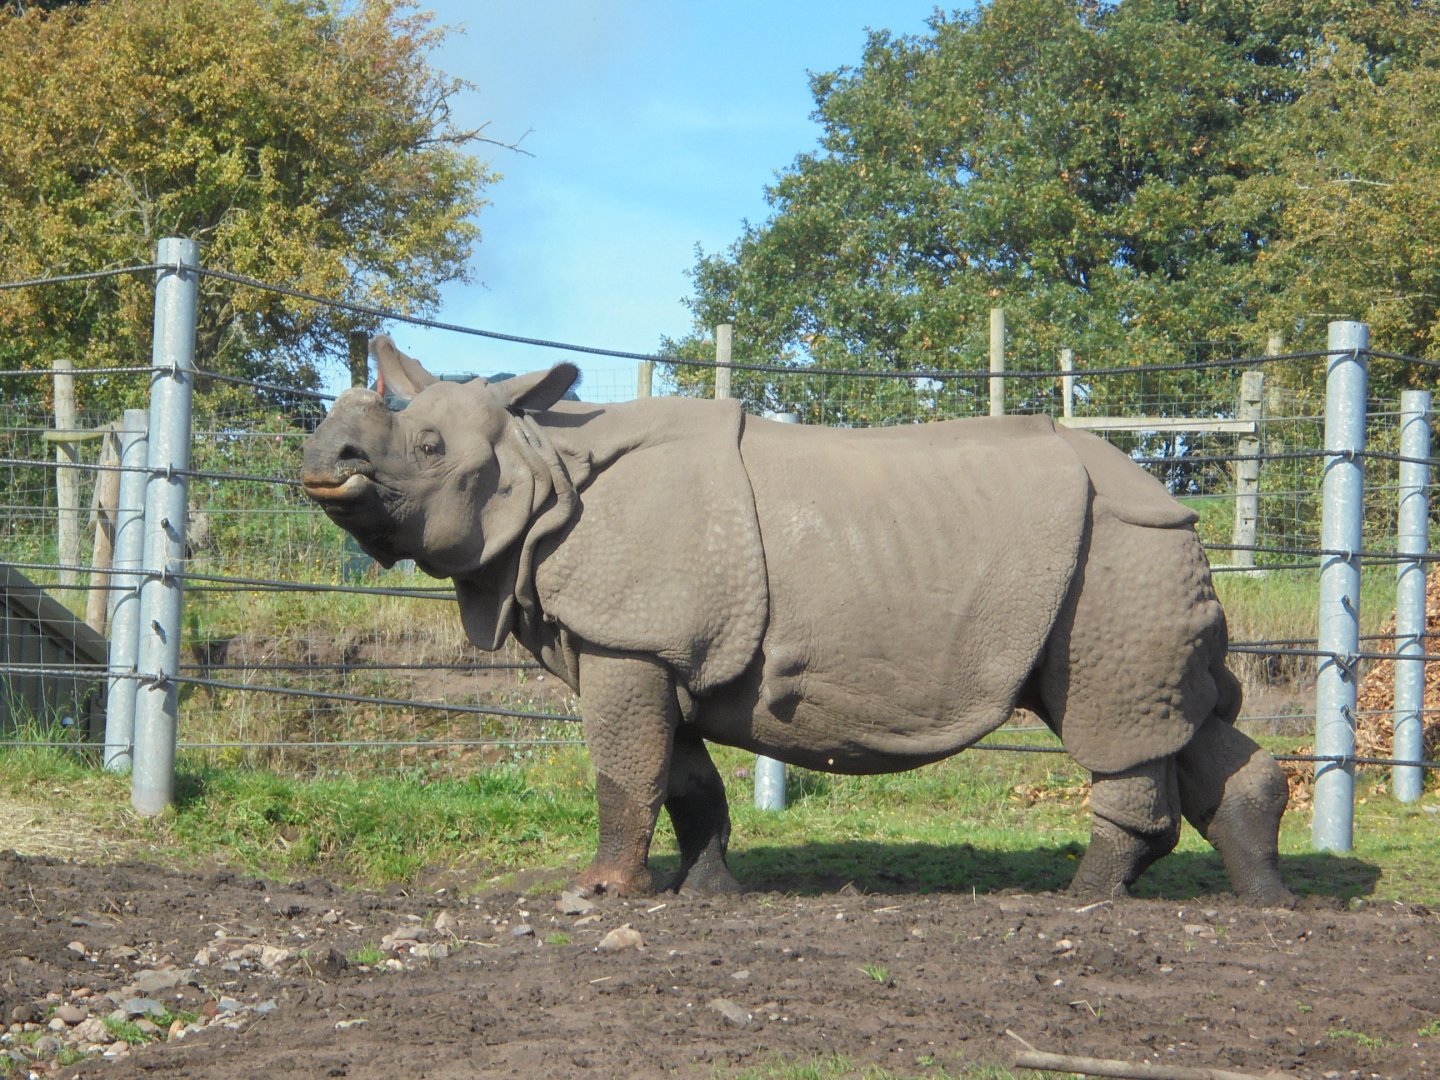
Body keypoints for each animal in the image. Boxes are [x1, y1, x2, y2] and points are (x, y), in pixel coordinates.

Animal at [300, 336, 1291, 905]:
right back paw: (1264, 901)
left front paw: (596, 897)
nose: (322, 457)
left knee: (1111, 724)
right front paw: (707, 895)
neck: (544, 459)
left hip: (1119, 549)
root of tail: (1174, 505)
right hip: (1128, 557)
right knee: (1176, 716)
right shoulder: (653, 649)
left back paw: (1076, 902)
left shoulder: (631, 638)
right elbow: (686, 779)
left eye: (429, 449)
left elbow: (627, 772)